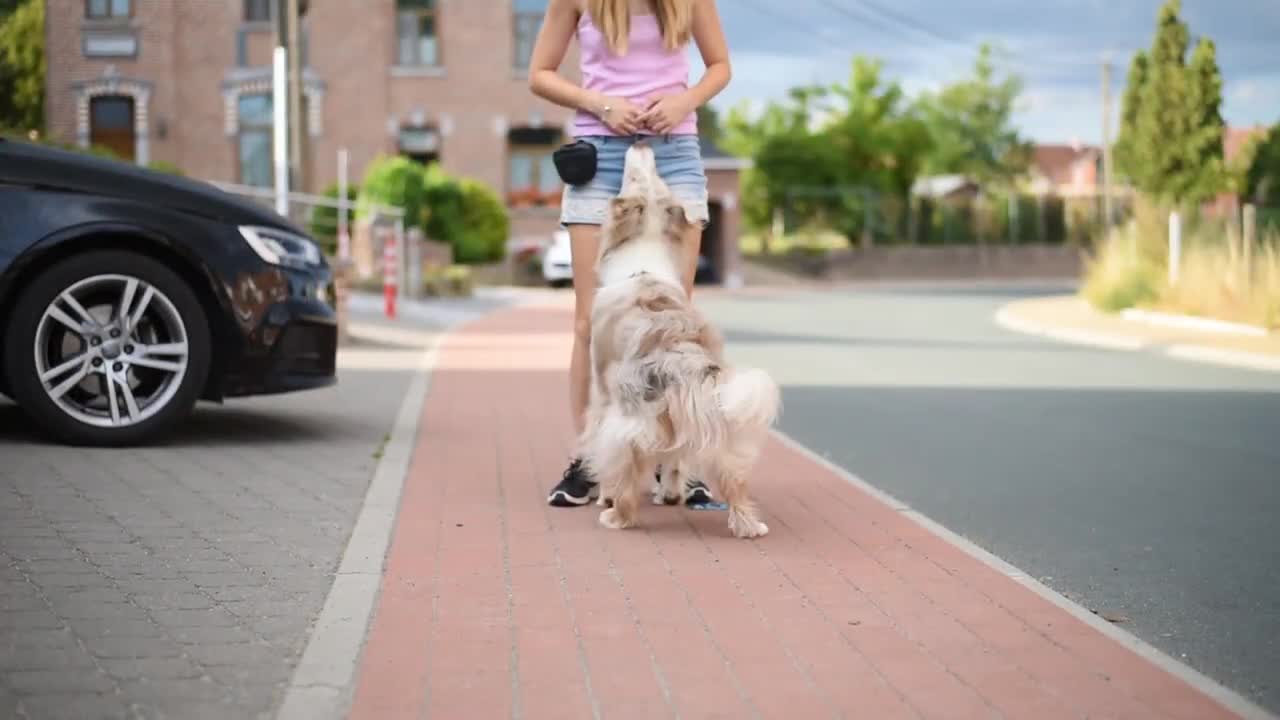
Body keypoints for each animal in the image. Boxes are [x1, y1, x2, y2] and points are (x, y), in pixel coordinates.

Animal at [578, 140, 778, 535]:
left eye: (634, 177)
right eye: (655, 178)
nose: (641, 140)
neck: (643, 261)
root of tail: (684, 356)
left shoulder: (601, 392)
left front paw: (605, 496)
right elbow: (673, 460)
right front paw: (669, 495)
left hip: (630, 418)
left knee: (625, 469)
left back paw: (616, 514)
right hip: (718, 422)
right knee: (731, 477)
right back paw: (748, 525)